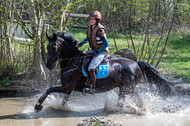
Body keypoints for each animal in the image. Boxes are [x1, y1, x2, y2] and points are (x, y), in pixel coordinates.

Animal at [35, 31, 177, 111]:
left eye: (54, 47)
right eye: (47, 47)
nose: (49, 65)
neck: (72, 61)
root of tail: (136, 63)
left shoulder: (67, 86)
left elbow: (49, 89)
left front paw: (38, 106)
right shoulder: (69, 88)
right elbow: (64, 100)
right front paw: (61, 108)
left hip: (126, 89)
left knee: (123, 103)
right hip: (127, 88)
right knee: (136, 100)